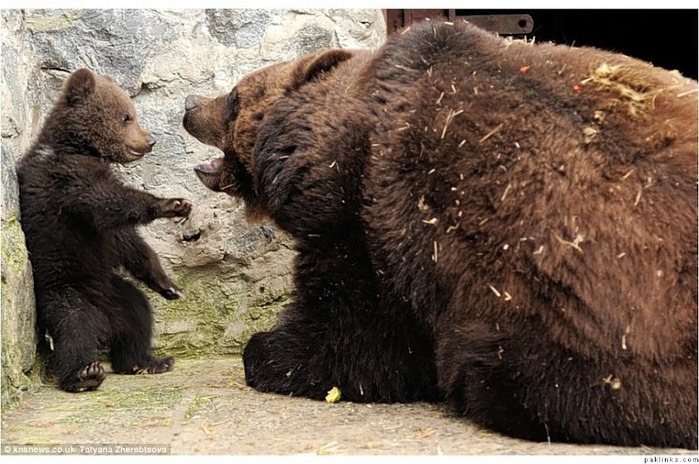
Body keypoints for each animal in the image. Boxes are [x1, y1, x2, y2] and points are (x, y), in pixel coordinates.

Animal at [183, 20, 696, 448]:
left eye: (233, 98)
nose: (189, 105)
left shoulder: (380, 215)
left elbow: (359, 332)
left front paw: (264, 350)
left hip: (588, 321)